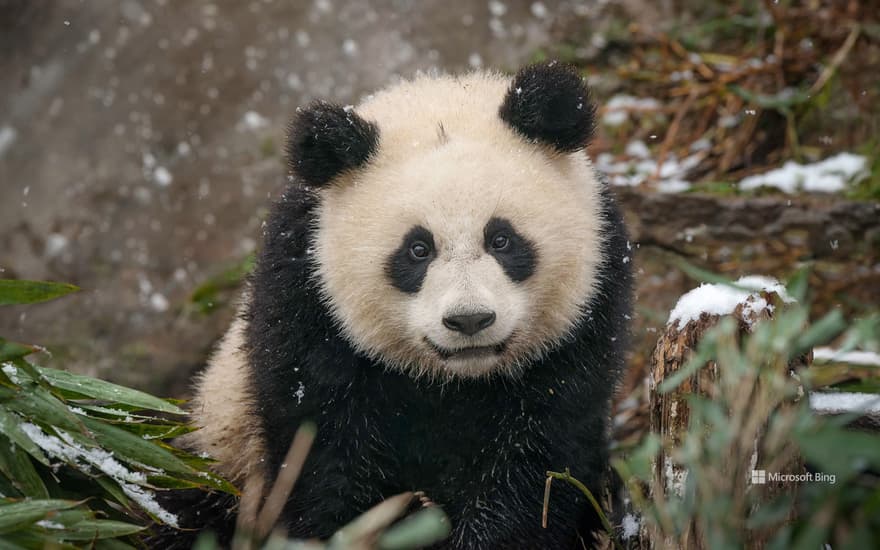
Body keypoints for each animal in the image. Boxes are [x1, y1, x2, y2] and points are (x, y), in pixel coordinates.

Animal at [165, 62, 632, 548]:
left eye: (502, 239)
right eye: (417, 250)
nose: (469, 320)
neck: (454, 381)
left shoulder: (583, 322)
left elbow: (538, 462)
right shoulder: (306, 306)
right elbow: (324, 460)